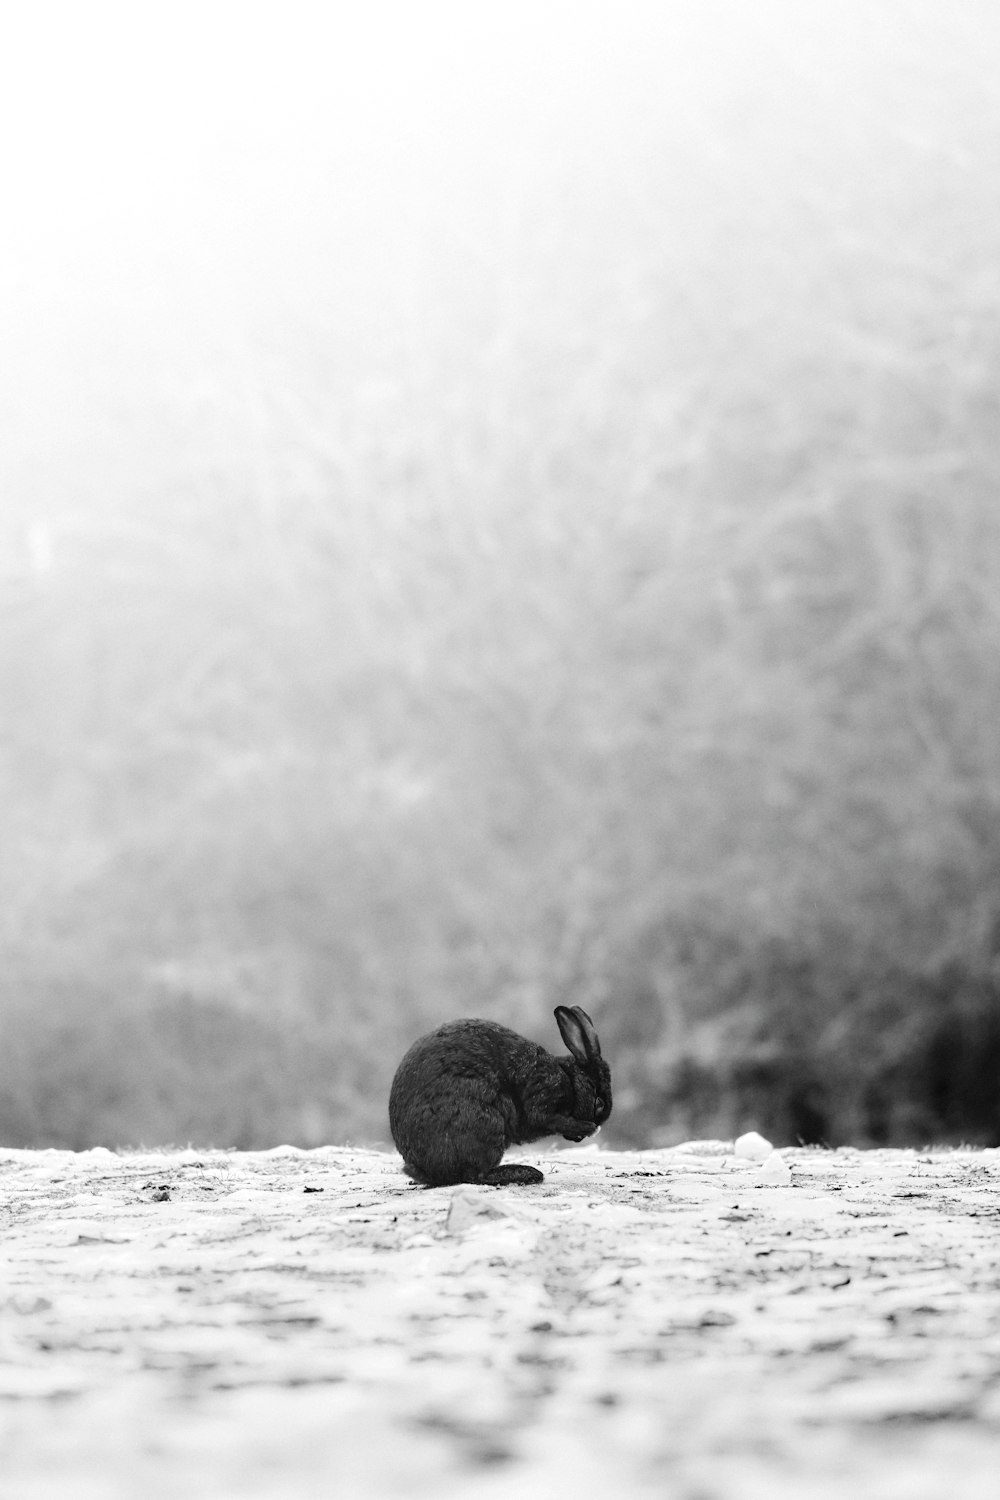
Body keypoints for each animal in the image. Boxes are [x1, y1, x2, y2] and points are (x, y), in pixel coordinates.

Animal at [389, 1002, 611, 1188]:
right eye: (598, 1103)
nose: (580, 1139)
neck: (570, 1078)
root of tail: (422, 1169)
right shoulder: (544, 1093)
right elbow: (548, 1117)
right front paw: (588, 1128)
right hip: (484, 1122)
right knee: (475, 1175)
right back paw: (528, 1174)